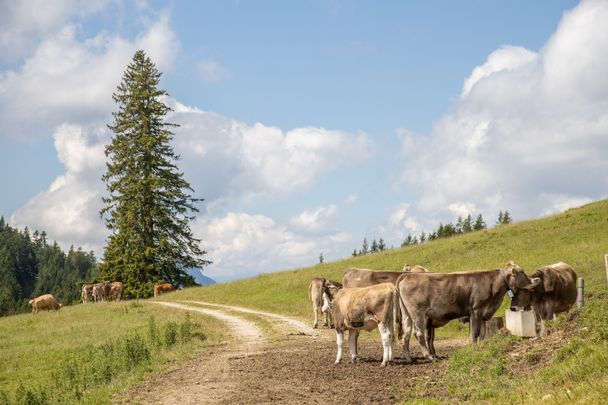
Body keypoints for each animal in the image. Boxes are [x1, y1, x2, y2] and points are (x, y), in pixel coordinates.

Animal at [400, 262, 536, 360]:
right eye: (521, 272)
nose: (535, 280)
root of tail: (406, 277)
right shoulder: (476, 310)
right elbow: (475, 332)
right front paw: (473, 348)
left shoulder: (483, 314)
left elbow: (482, 333)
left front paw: (480, 347)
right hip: (418, 313)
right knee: (418, 333)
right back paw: (428, 356)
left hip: (407, 314)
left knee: (406, 333)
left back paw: (409, 358)